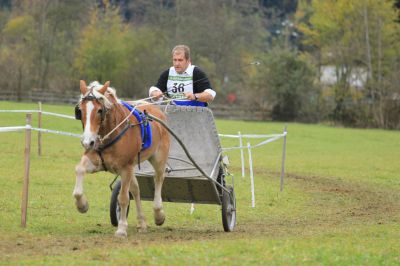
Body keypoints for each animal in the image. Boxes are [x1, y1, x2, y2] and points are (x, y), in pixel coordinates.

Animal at [73, 80, 170, 237]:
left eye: (99, 110)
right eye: (80, 111)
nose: (88, 142)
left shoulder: (125, 168)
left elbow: (123, 198)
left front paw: (122, 228)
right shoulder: (96, 161)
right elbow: (79, 171)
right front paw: (82, 205)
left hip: (158, 159)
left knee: (158, 179)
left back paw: (158, 213)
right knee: (136, 189)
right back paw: (142, 222)